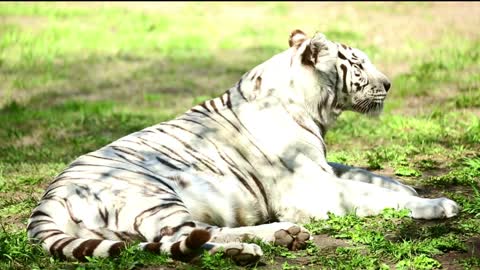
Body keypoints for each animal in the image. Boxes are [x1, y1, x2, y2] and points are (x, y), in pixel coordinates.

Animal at [28, 29, 460, 264]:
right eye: (356, 64)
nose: (388, 83)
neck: (312, 108)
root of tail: (47, 200)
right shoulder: (312, 190)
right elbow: (373, 193)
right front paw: (437, 204)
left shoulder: (321, 166)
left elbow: (367, 175)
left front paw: (409, 186)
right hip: (154, 196)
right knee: (189, 237)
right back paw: (258, 246)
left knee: (178, 239)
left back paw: (278, 238)